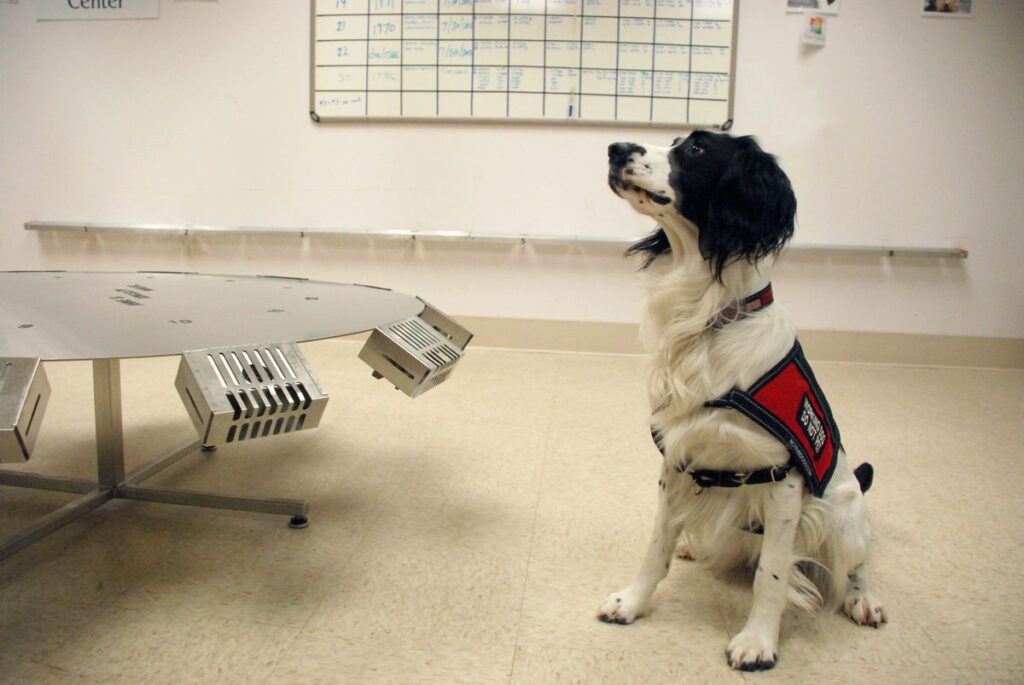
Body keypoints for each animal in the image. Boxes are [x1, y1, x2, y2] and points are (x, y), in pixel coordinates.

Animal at [598, 131, 888, 671]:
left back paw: (864, 600)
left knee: (857, 563)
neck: (707, 319)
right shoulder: (677, 456)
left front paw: (757, 641)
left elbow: (771, 574)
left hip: (843, 513)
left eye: (695, 149)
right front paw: (632, 601)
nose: (615, 147)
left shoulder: (782, 476)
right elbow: (656, 544)